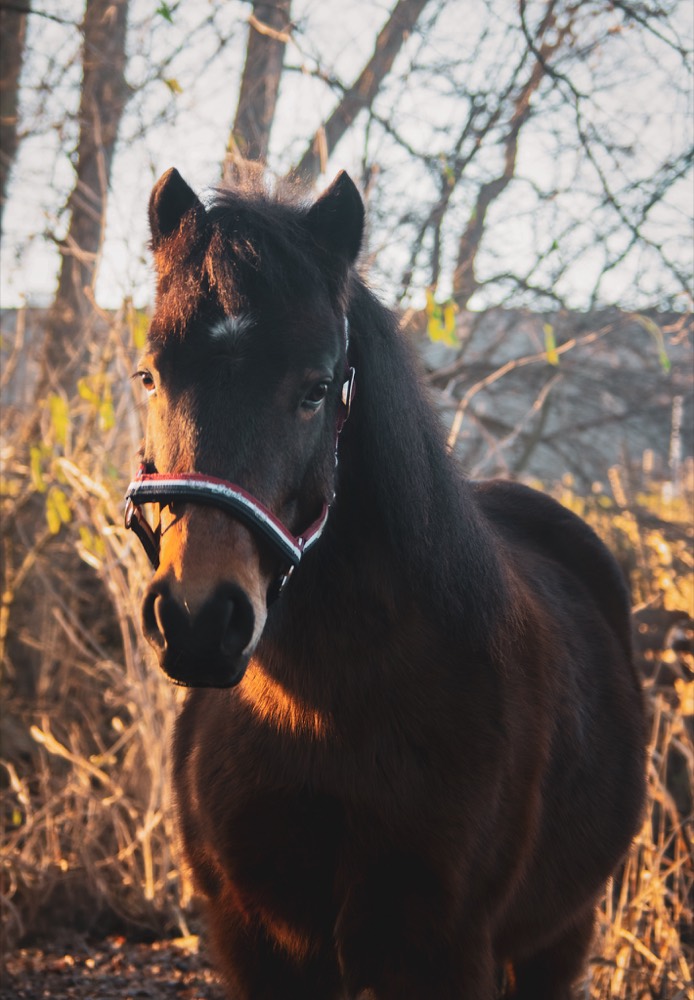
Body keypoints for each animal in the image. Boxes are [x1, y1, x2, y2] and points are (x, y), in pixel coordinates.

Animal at [125, 167, 646, 999]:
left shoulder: (437, 947)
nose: (201, 620)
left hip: (559, 936)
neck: (323, 710)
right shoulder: (258, 942)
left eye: (315, 388)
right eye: (150, 375)